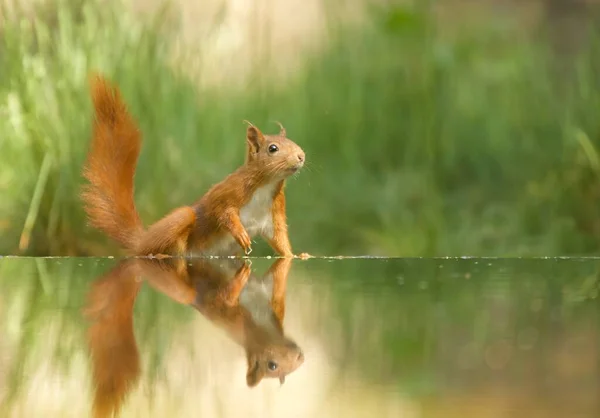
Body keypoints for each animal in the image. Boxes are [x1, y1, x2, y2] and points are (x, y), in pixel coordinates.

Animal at [81, 74, 310, 258]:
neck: (266, 186)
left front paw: (296, 255)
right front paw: (240, 233)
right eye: (273, 148)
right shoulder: (230, 190)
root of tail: (142, 239)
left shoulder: (273, 215)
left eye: (293, 142)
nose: (301, 156)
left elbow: (279, 240)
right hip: (180, 220)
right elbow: (222, 211)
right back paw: (160, 255)